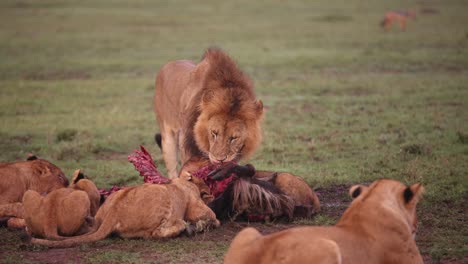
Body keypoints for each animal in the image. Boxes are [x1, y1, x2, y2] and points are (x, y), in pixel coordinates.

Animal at [30, 175, 220, 248]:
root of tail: (114, 211)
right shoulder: (195, 203)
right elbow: (211, 215)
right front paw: (210, 222)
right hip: (162, 195)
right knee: (155, 234)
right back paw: (185, 227)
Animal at [154, 48, 264, 178]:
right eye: (214, 133)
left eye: (234, 138)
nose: (220, 159)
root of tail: (169, 63)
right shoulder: (186, 144)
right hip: (168, 138)